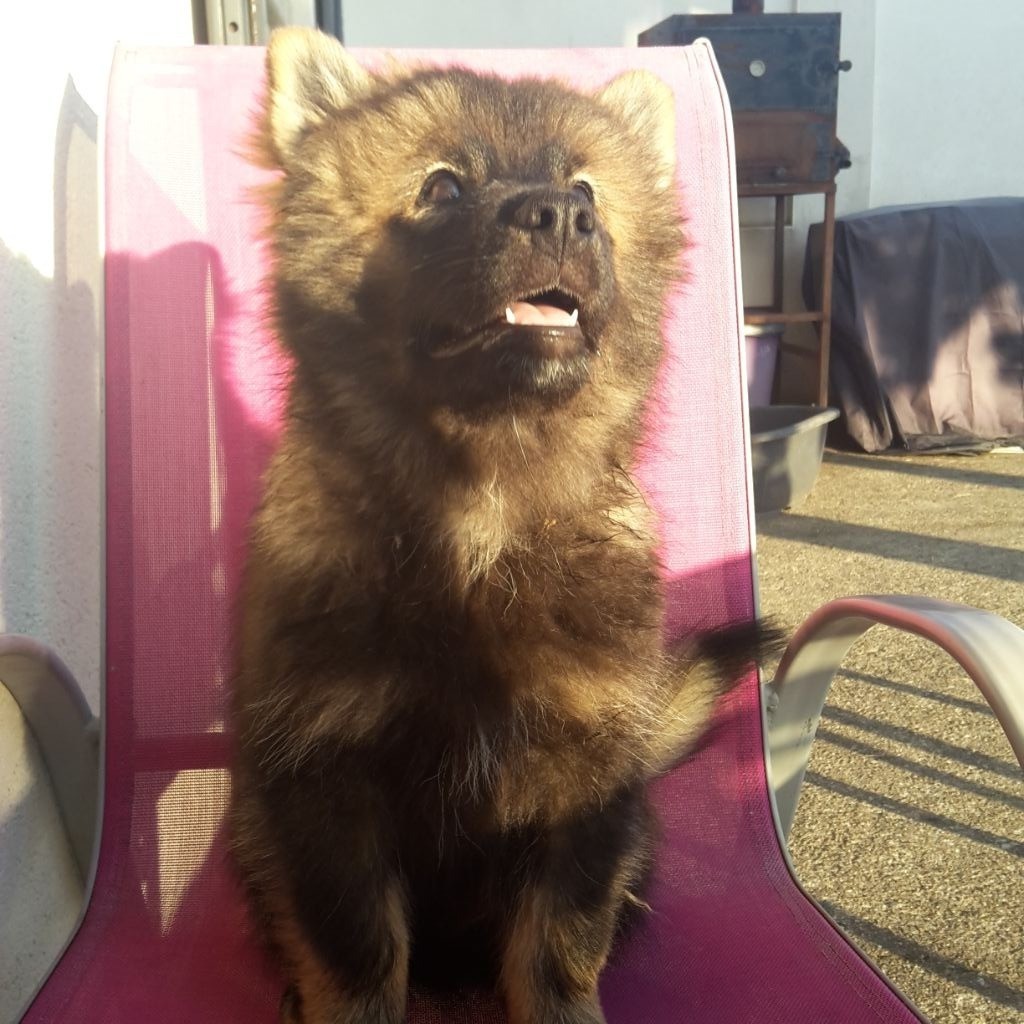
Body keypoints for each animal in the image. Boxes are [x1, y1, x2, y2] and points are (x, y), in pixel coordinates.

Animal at [229, 28, 779, 1024]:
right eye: (443, 186)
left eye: (589, 187)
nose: (561, 215)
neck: (479, 513)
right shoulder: (327, 776)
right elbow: (357, 956)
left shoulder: (585, 787)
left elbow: (558, 950)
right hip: (256, 827)